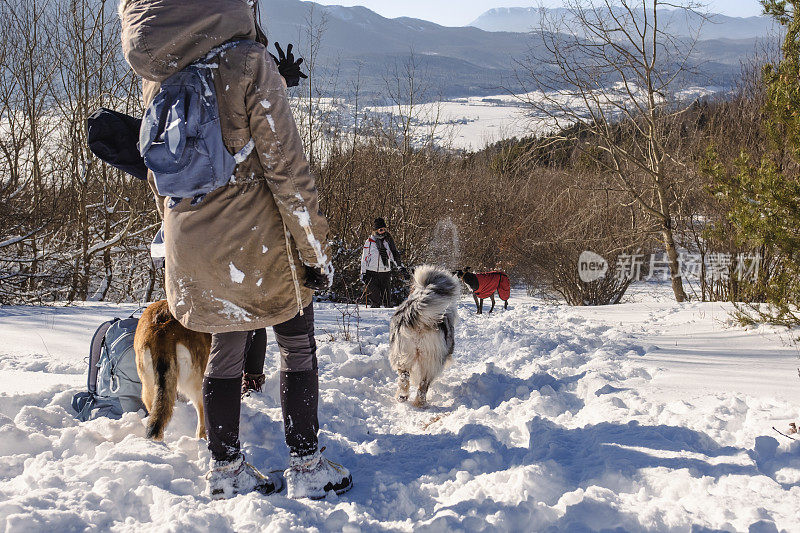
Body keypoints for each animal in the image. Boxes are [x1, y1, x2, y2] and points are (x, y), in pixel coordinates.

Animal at [390, 264, 460, 406]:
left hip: (403, 354)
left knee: (405, 378)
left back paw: (402, 397)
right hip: (430, 359)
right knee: (423, 384)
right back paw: (420, 403)